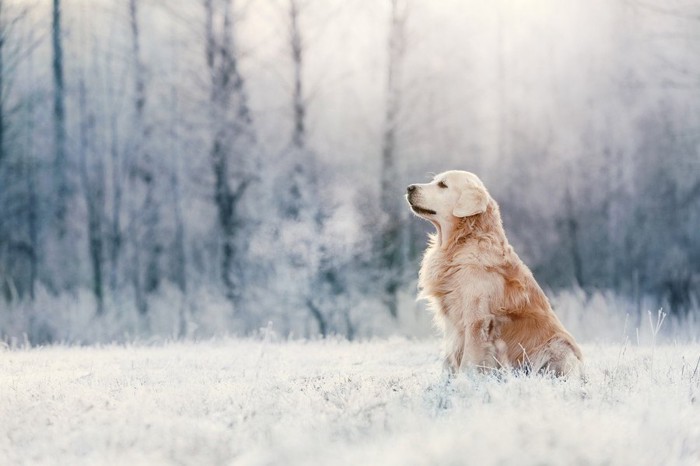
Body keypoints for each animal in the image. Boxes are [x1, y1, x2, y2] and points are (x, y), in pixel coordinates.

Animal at [408, 169, 584, 376]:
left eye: (442, 185)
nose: (409, 188)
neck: (460, 242)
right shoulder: (453, 324)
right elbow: (448, 358)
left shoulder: (477, 321)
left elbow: (469, 360)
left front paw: (463, 381)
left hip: (558, 347)